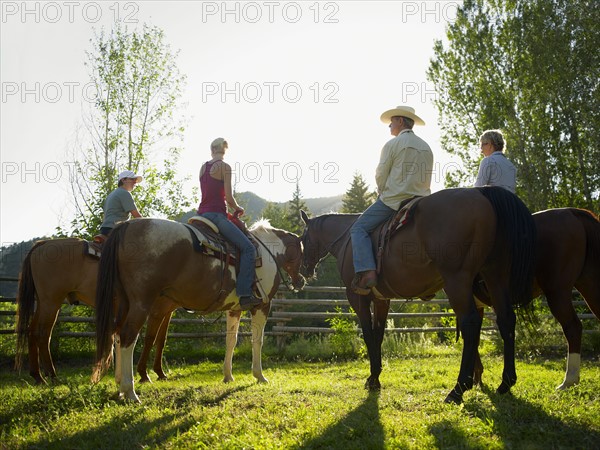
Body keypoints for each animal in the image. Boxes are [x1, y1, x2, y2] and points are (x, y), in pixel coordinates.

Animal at [92, 217, 304, 400]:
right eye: (301, 251)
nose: (301, 280)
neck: (266, 252)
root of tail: (126, 226)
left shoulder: (234, 309)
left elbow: (231, 340)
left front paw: (228, 376)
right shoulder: (262, 306)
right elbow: (257, 340)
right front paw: (259, 375)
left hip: (123, 302)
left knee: (117, 335)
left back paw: (121, 386)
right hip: (140, 303)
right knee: (128, 337)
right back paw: (130, 391)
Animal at [298, 186, 536, 404]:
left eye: (303, 238)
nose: (305, 270)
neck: (348, 238)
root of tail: (480, 193)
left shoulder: (357, 298)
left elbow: (368, 335)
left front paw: (373, 379)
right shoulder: (381, 299)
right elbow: (378, 334)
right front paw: (376, 376)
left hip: (457, 280)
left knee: (470, 323)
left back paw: (458, 389)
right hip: (495, 276)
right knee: (506, 319)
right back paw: (506, 382)